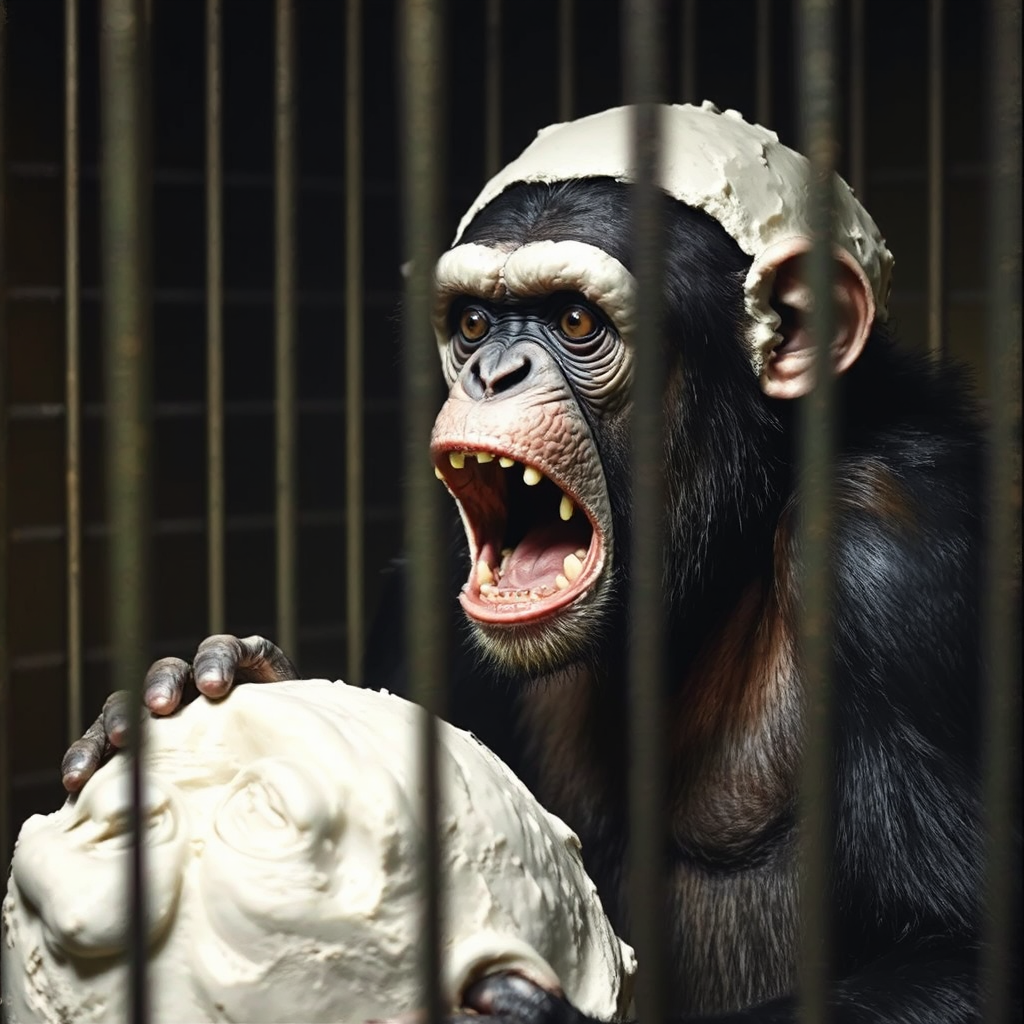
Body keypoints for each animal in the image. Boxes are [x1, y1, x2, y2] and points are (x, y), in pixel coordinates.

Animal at [60, 104, 1009, 1022]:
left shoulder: (889, 566)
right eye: (475, 322)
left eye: (576, 321)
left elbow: (962, 956)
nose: (492, 371)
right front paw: (201, 676)